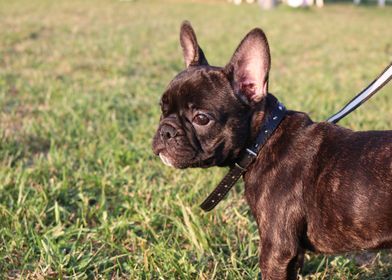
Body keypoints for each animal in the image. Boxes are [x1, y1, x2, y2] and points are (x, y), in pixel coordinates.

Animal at [151, 20, 392, 278]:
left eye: (201, 118)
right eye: (162, 108)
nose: (166, 131)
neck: (262, 141)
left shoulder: (276, 250)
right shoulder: (293, 255)